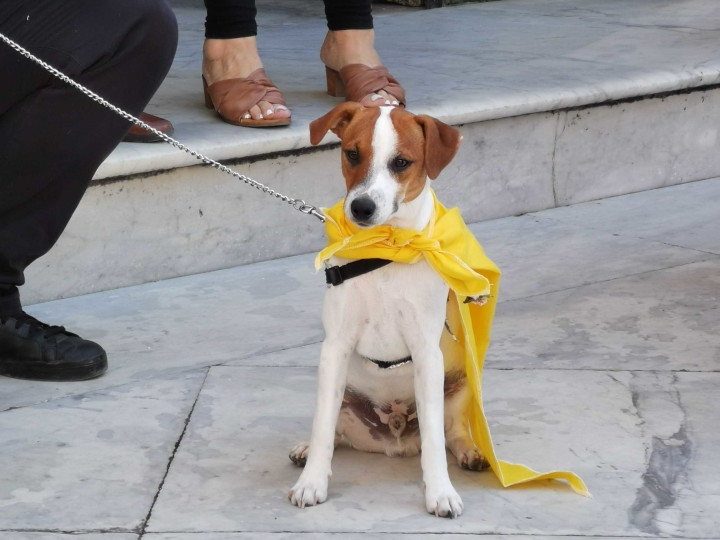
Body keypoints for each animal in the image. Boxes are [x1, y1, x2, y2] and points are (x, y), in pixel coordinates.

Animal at [284, 102, 486, 520]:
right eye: (352, 154)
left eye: (401, 162)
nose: (361, 207)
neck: (387, 249)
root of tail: (392, 439)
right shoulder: (335, 348)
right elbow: (323, 427)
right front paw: (312, 483)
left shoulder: (427, 353)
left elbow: (435, 441)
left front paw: (441, 492)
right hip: (342, 391)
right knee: (335, 431)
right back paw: (307, 450)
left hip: (458, 384)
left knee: (451, 431)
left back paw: (470, 452)